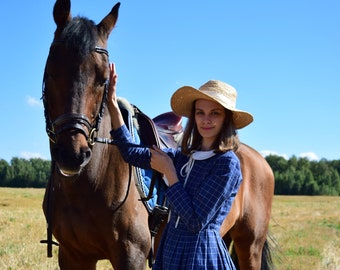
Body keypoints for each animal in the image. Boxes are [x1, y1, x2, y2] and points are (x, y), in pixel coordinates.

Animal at [41, 1, 274, 268]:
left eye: (103, 79)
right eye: (51, 71)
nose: (73, 154)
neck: (91, 182)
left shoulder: (131, 255)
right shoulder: (73, 255)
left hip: (250, 246)